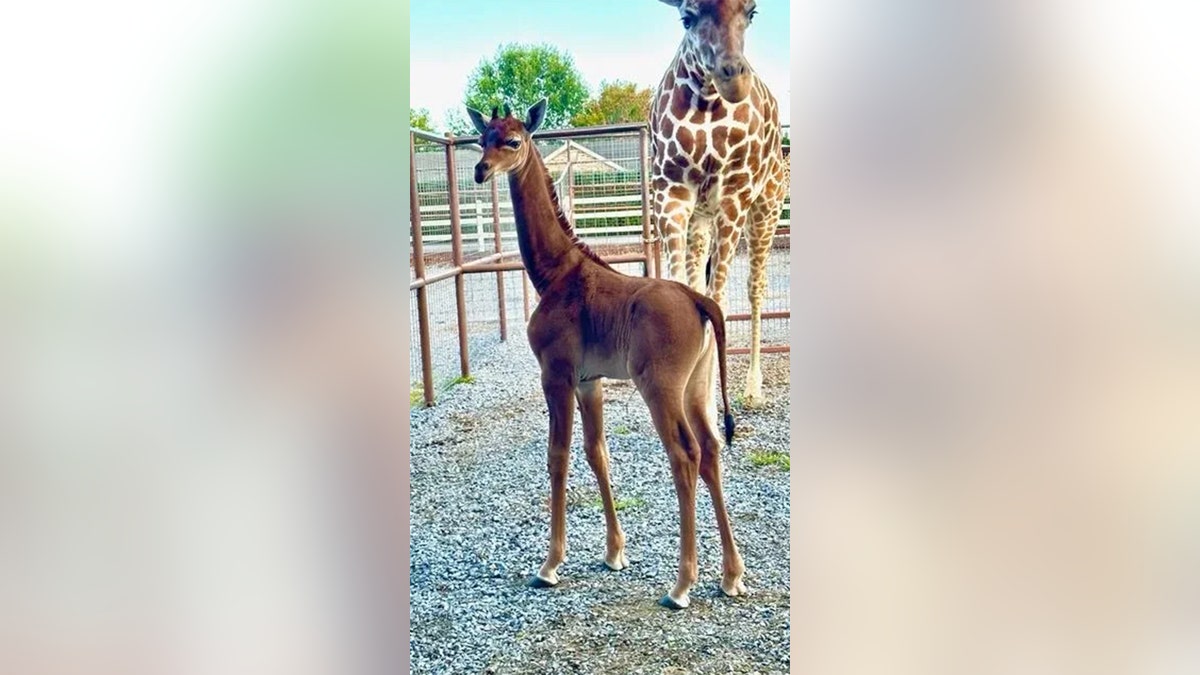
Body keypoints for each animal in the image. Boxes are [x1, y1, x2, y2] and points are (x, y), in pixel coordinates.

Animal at [470, 100, 744, 610]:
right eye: (483, 138)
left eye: (513, 141)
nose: (481, 170)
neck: (554, 273)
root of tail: (700, 301)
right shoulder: (588, 380)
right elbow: (597, 452)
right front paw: (615, 552)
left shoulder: (556, 374)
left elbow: (558, 455)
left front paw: (550, 565)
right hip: (697, 387)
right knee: (713, 449)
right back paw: (731, 575)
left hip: (660, 387)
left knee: (685, 454)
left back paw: (681, 586)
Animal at [648, 0, 787, 403]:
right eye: (687, 17)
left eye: (752, 12)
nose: (733, 78)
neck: (707, 103)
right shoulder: (671, 193)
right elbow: (685, 292)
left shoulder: (734, 195)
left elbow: (719, 300)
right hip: (702, 218)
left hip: (766, 208)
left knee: (756, 288)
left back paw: (753, 387)